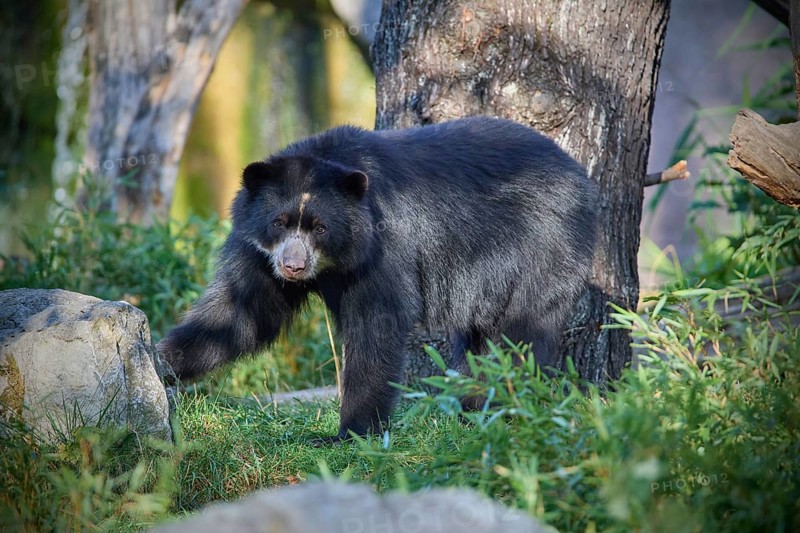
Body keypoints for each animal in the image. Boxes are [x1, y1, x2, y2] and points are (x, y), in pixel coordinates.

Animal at [158, 116, 597, 442]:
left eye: (320, 227)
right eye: (279, 222)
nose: (293, 267)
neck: (336, 260)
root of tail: (581, 176)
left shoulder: (383, 248)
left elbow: (378, 324)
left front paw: (350, 432)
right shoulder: (259, 253)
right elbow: (242, 313)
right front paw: (162, 360)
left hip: (542, 246)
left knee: (523, 330)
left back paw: (511, 405)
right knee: (479, 342)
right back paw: (475, 409)